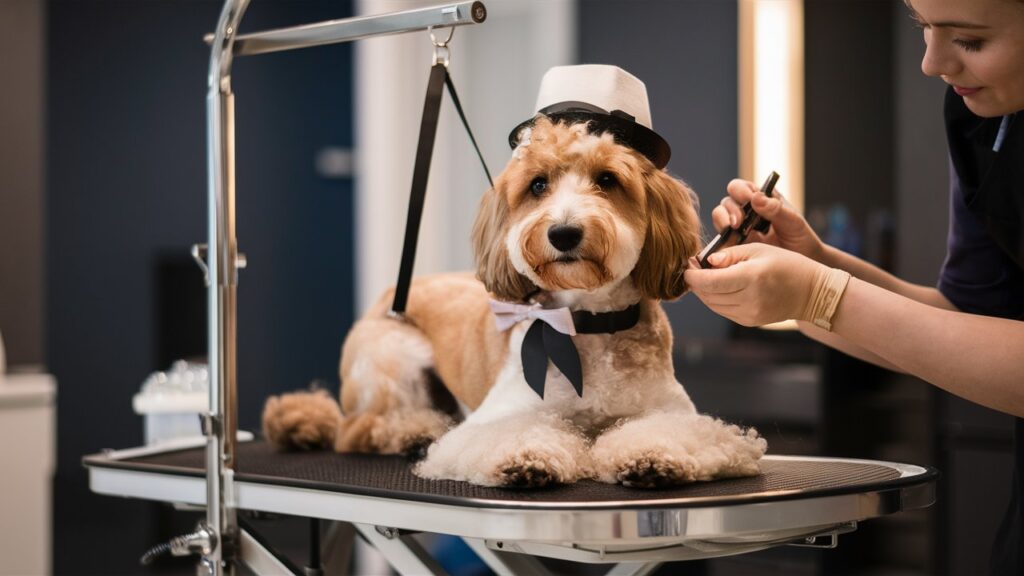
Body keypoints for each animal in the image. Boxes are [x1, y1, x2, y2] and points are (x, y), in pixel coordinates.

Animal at [260, 65, 765, 485]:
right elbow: (519, 432)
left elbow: (667, 431)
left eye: (607, 179)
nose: (563, 232)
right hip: (392, 359)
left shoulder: (672, 412)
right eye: (538, 184)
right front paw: (527, 458)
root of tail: (389, 295)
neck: (588, 325)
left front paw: (653, 456)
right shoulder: (500, 414)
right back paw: (415, 433)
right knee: (362, 429)